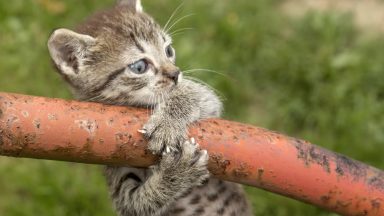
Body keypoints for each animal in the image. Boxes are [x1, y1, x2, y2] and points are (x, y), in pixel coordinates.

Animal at [47, 0, 252, 216]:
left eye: (168, 50)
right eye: (139, 67)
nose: (176, 73)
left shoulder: (208, 101)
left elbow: (193, 94)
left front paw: (166, 125)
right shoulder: (116, 170)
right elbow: (138, 204)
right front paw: (176, 172)